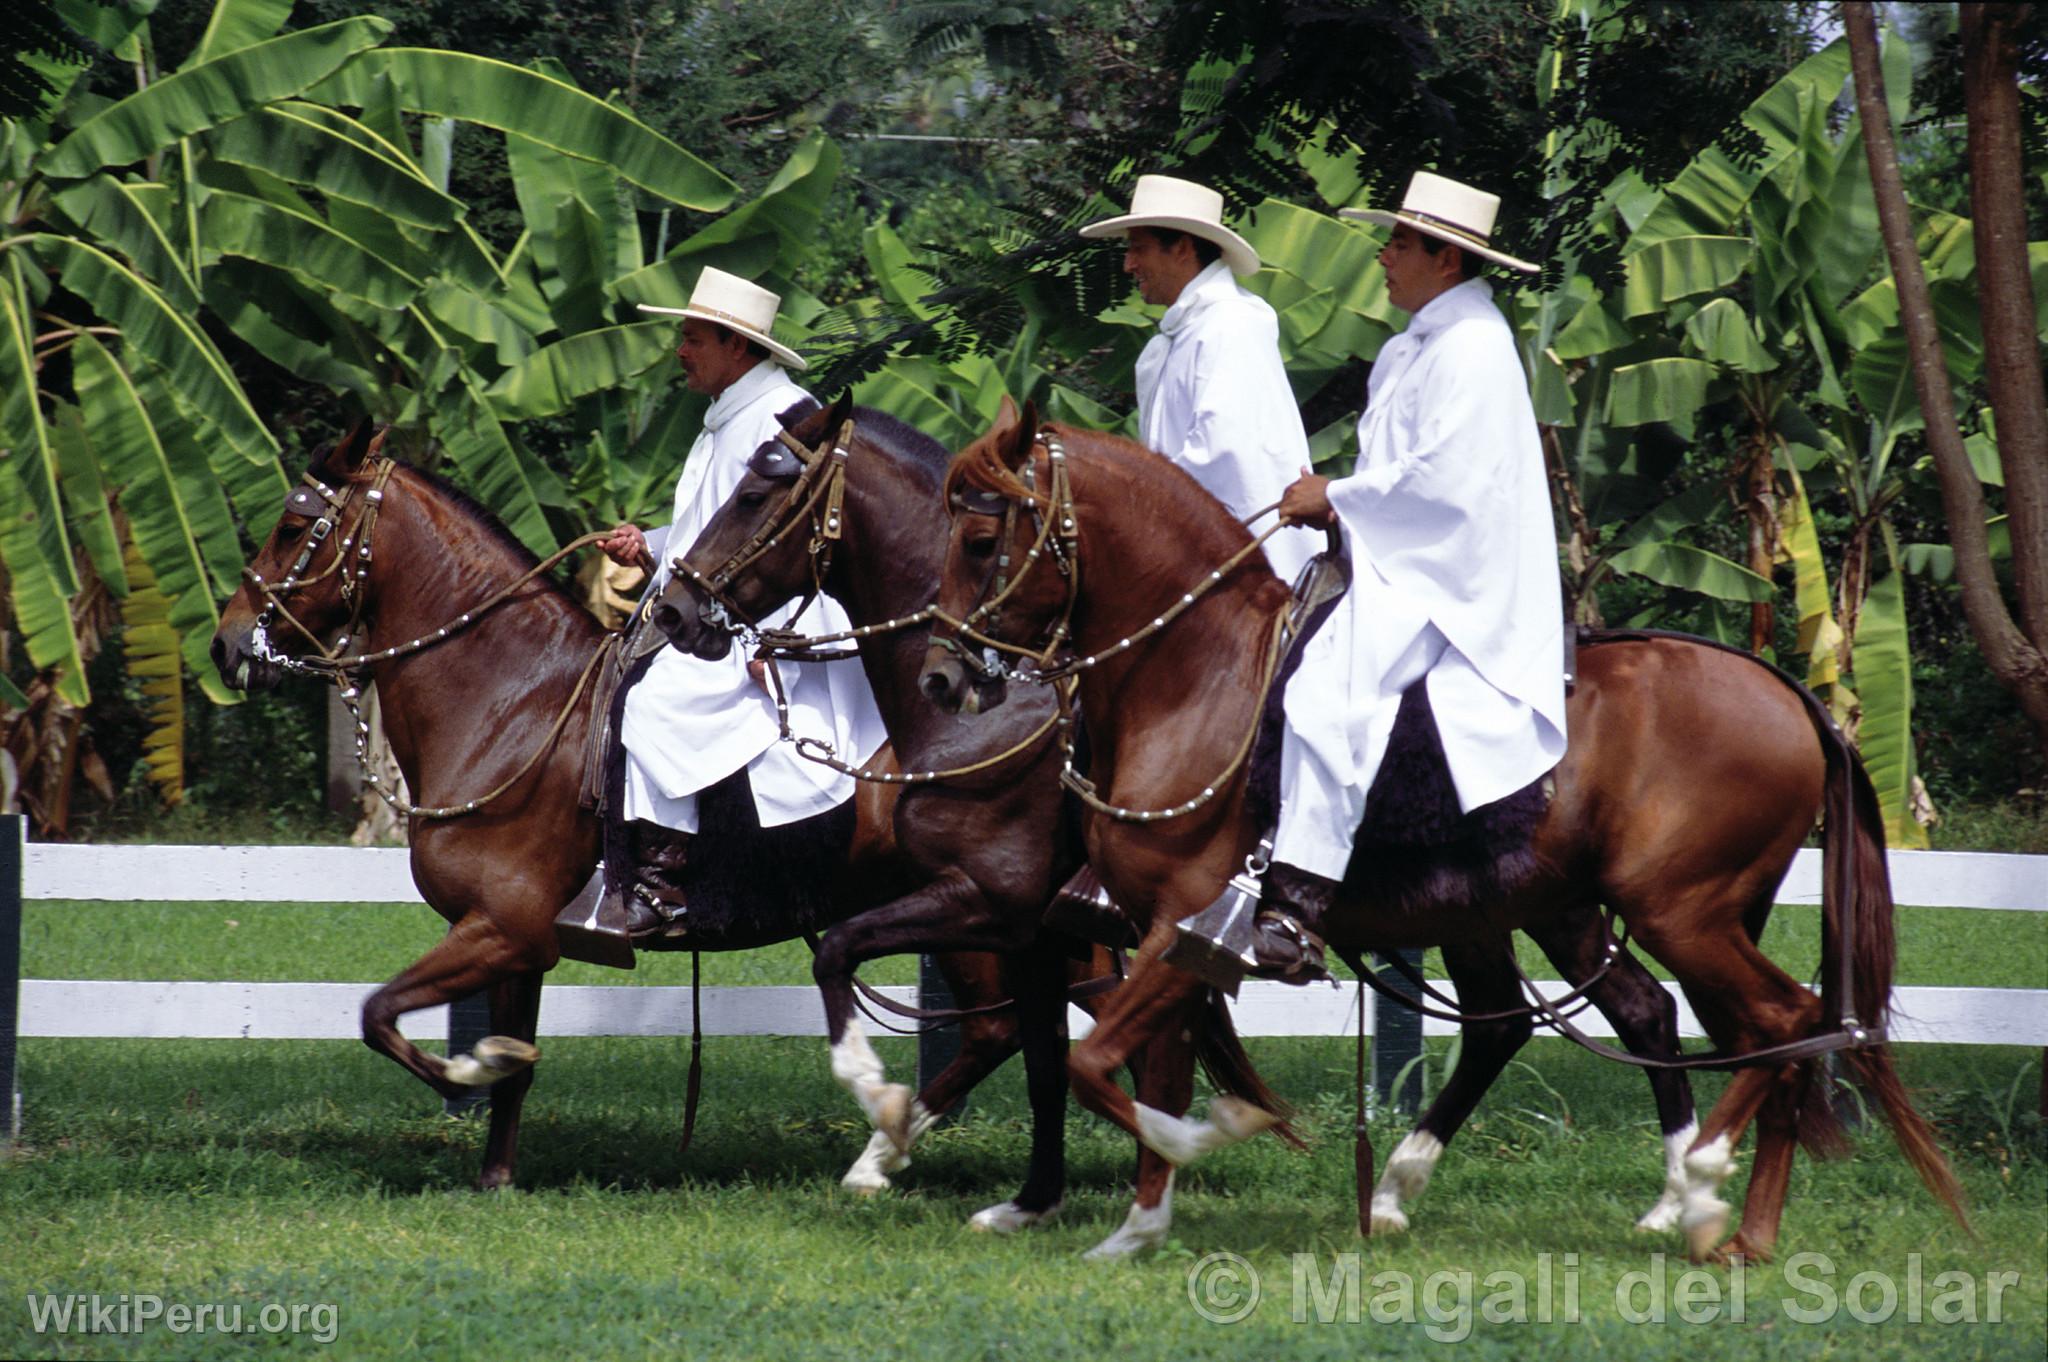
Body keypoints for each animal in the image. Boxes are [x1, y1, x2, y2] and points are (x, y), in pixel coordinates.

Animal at [209, 417, 1105, 1204]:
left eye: (295, 525)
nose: (227, 644)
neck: (510, 701)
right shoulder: (518, 943)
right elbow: (508, 1063)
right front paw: (495, 1173)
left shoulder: (500, 927)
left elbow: (383, 1016)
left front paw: (471, 1069)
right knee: (1015, 1029)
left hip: (980, 911)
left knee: (1023, 1028)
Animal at [655, 393, 1728, 1253]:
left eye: (755, 490)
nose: (676, 609)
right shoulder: (1052, 930)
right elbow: (1047, 1057)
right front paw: (1035, 1198)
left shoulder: (996, 901)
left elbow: (864, 960)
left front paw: (883, 1110)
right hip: (1503, 909)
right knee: (1554, 1013)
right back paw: (1435, 1191)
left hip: (1546, 907)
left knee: (1623, 1009)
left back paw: (1666, 1195)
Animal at [925, 405, 1966, 1261]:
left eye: (980, 538)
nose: (941, 677)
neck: (1198, 676)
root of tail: (1794, 699)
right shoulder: (1171, 937)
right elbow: (1140, 1071)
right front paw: (1140, 1227)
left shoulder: (1182, 923)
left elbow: (1102, 1067)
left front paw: (1203, 1143)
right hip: (1586, 913)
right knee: (1667, 1023)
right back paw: (1715, 1225)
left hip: (1679, 914)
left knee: (1781, 1022)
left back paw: (1704, 1188)